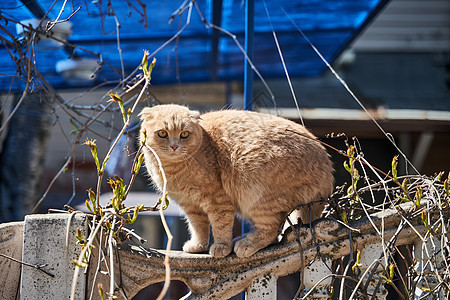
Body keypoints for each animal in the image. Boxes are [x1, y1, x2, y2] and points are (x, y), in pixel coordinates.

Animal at [141, 104, 334, 256]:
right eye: (163, 133)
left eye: (184, 134)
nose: (174, 146)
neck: (171, 171)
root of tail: (327, 165)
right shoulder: (191, 207)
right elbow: (198, 228)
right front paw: (198, 245)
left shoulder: (218, 200)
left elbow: (220, 225)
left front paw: (221, 246)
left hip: (259, 198)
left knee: (271, 230)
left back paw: (246, 243)